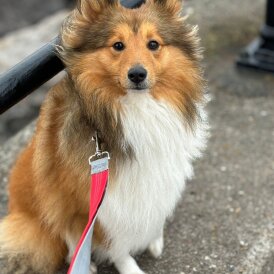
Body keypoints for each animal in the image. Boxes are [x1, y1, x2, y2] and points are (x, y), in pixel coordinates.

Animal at [0, 0, 208, 274]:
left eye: (153, 44)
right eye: (118, 45)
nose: (137, 75)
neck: (137, 109)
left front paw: (154, 238)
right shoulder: (96, 204)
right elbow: (115, 245)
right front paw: (131, 268)